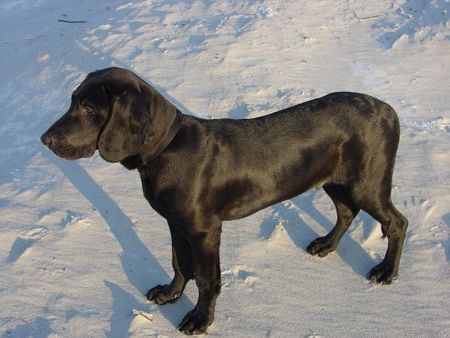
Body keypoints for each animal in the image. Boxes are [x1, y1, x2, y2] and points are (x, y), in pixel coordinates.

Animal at [41, 67, 408, 334]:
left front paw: (199, 320)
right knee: (347, 211)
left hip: (367, 183)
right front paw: (170, 294)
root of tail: (389, 109)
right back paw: (326, 245)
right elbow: (179, 263)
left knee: (396, 222)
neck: (166, 148)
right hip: (335, 179)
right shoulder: (176, 222)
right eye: (73, 100)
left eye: (89, 107)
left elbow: (207, 279)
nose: (44, 139)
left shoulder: (205, 230)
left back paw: (386, 272)